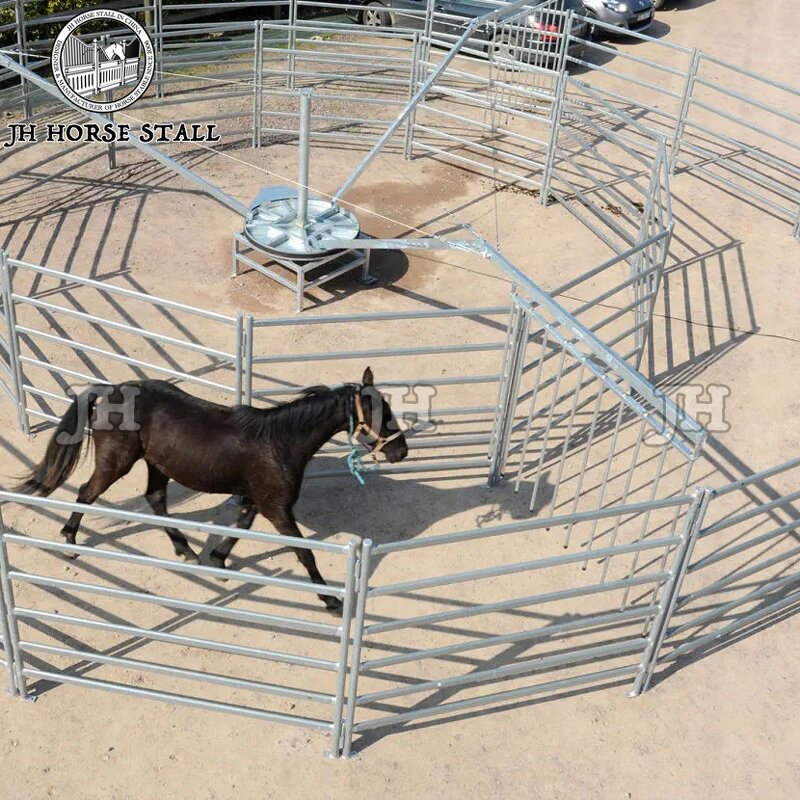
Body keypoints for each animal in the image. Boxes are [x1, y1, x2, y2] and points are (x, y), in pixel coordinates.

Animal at [14, 368, 408, 613]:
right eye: (382, 414)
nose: (401, 452)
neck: (280, 442)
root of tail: (111, 389)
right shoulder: (278, 508)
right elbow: (304, 553)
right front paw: (331, 601)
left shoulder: (256, 500)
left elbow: (239, 530)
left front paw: (217, 560)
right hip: (117, 463)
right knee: (86, 492)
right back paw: (69, 540)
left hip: (157, 466)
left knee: (155, 500)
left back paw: (186, 551)